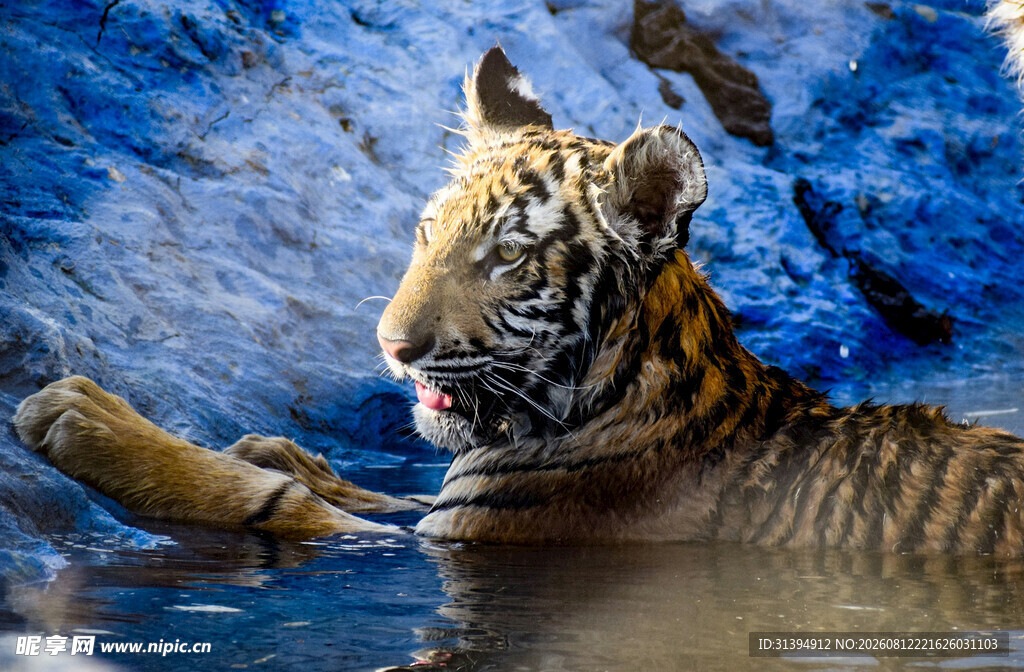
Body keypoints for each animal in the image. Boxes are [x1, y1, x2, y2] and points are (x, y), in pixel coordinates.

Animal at [13, 46, 1024, 554]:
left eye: (506, 256)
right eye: (426, 233)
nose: (391, 347)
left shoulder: (465, 535)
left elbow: (274, 505)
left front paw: (81, 414)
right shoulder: (442, 502)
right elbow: (367, 487)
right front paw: (276, 446)